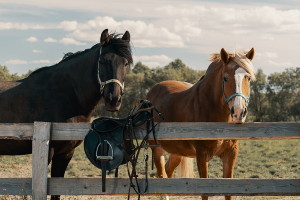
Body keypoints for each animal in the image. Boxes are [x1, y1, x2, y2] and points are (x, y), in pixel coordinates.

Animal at [0, 28, 132, 199]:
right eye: (102, 61)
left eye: (125, 63)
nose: (113, 100)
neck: (65, 94)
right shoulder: (48, 152)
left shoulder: (66, 153)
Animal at [148, 48, 255, 200]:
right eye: (225, 78)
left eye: (248, 78)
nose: (239, 112)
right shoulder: (202, 155)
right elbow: (204, 193)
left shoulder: (230, 154)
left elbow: (228, 193)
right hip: (157, 149)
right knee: (162, 176)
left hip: (177, 153)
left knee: (167, 173)